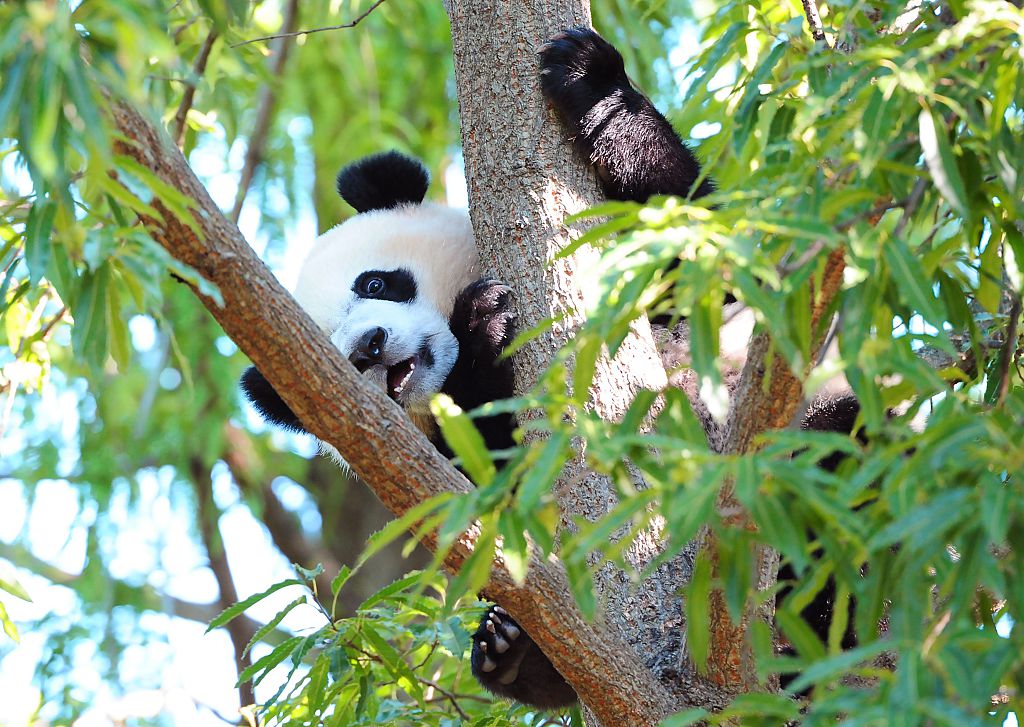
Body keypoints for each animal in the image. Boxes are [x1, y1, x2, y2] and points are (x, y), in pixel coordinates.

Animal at [241, 27, 861, 711]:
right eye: (338, 359)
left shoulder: (694, 302)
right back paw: (512, 655)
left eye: (376, 282)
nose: (371, 348)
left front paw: (589, 76)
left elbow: (695, 239)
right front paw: (484, 331)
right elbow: (499, 480)